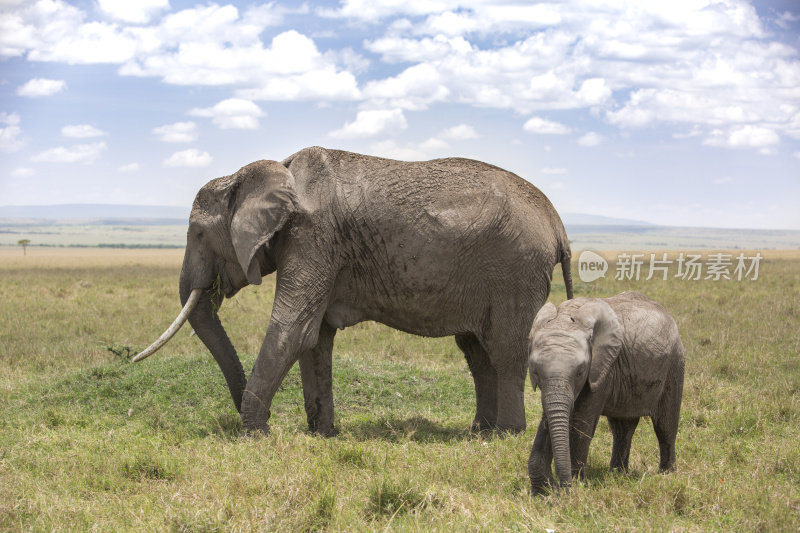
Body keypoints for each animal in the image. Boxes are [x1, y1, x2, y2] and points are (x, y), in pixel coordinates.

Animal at [139, 147, 576, 436]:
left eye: (198, 233)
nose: (257, 421)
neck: (270, 169)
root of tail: (557, 223)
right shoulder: (317, 247)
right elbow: (315, 339)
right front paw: (322, 434)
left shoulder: (313, 238)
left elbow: (292, 330)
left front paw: (253, 434)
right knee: (476, 351)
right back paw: (478, 432)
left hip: (514, 270)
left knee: (504, 350)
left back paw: (507, 434)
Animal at [528, 290, 684, 494]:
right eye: (535, 372)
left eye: (580, 372)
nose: (562, 487)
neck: (566, 316)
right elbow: (550, 417)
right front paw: (543, 491)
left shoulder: (602, 369)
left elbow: (581, 422)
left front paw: (576, 485)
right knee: (622, 428)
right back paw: (618, 474)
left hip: (674, 365)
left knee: (665, 425)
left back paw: (666, 474)